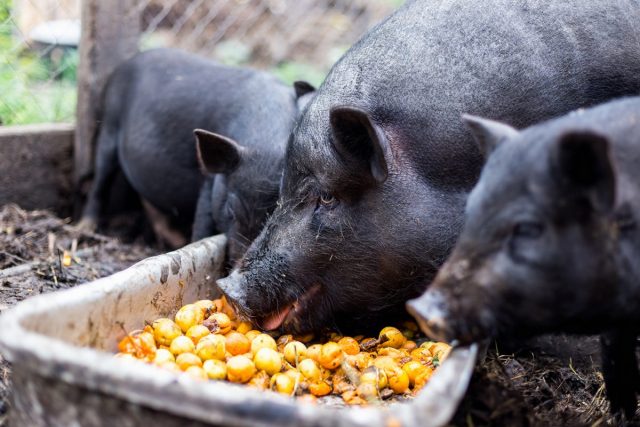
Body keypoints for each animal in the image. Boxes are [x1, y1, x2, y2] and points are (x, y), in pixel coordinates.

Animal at [79, 49, 314, 258]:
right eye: (231, 210)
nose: (238, 264)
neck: (267, 135)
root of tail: (123, 66)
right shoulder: (211, 179)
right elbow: (203, 221)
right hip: (109, 125)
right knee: (101, 180)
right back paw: (84, 228)